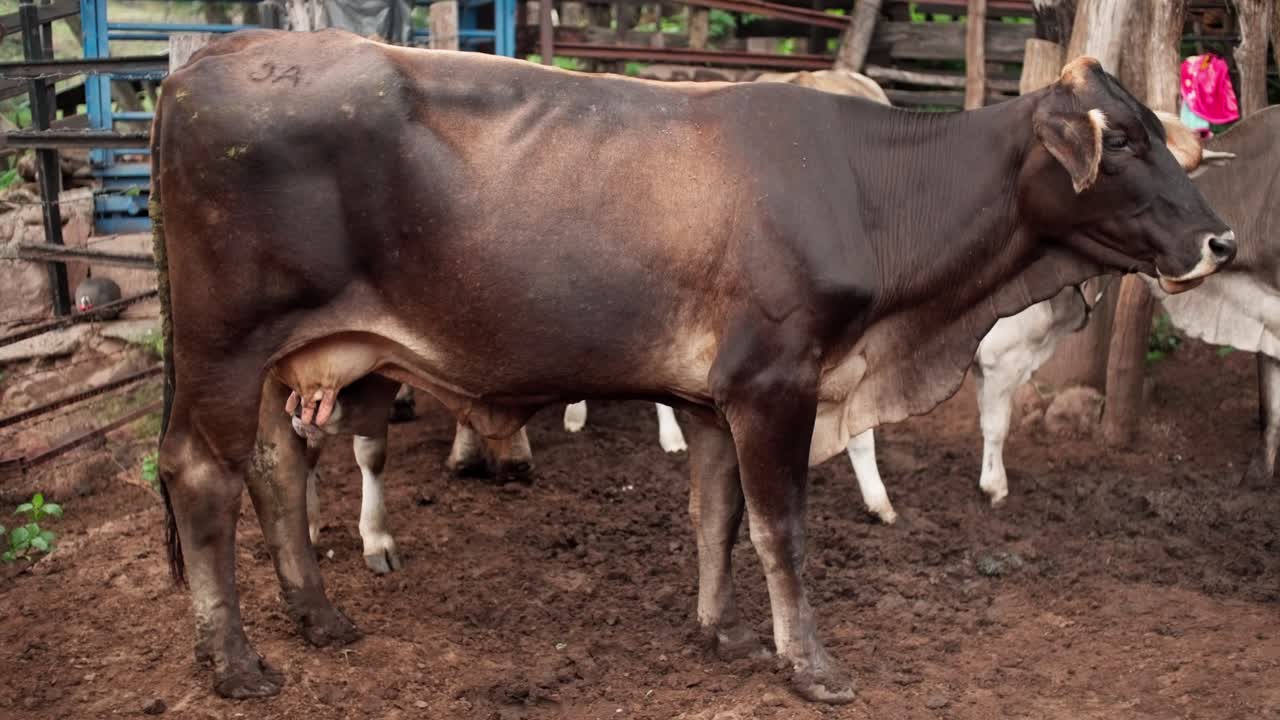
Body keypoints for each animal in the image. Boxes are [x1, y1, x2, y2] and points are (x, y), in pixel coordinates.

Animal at [151, 29, 1232, 703]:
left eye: (1157, 131)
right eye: (1121, 142)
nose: (1220, 241)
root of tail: (211, 56)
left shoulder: (712, 398)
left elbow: (714, 518)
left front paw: (719, 632)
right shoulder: (776, 384)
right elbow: (780, 531)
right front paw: (810, 664)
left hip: (283, 358)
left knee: (275, 471)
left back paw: (315, 616)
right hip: (226, 344)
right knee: (203, 478)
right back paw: (234, 662)